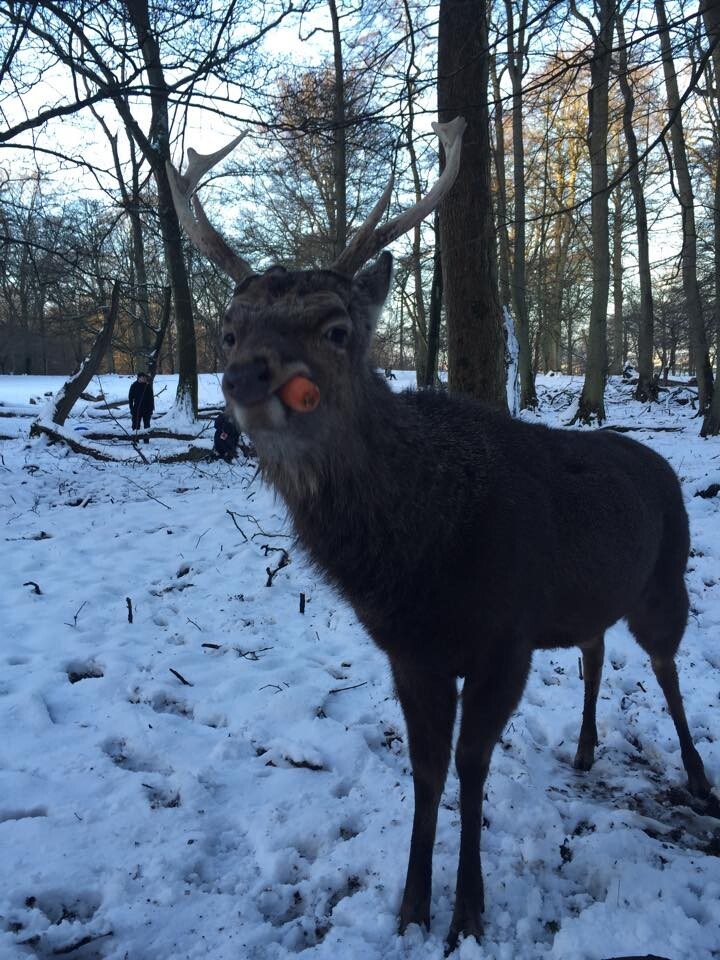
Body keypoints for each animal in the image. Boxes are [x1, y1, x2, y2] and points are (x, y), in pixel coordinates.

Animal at [166, 118, 712, 944]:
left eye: (336, 327)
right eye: (227, 331)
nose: (246, 377)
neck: (419, 566)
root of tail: (663, 467)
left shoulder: (506, 637)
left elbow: (471, 765)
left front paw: (469, 912)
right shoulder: (408, 653)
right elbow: (425, 771)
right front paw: (412, 906)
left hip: (666, 580)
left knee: (668, 670)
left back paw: (698, 777)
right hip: (592, 602)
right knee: (594, 650)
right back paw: (585, 752)